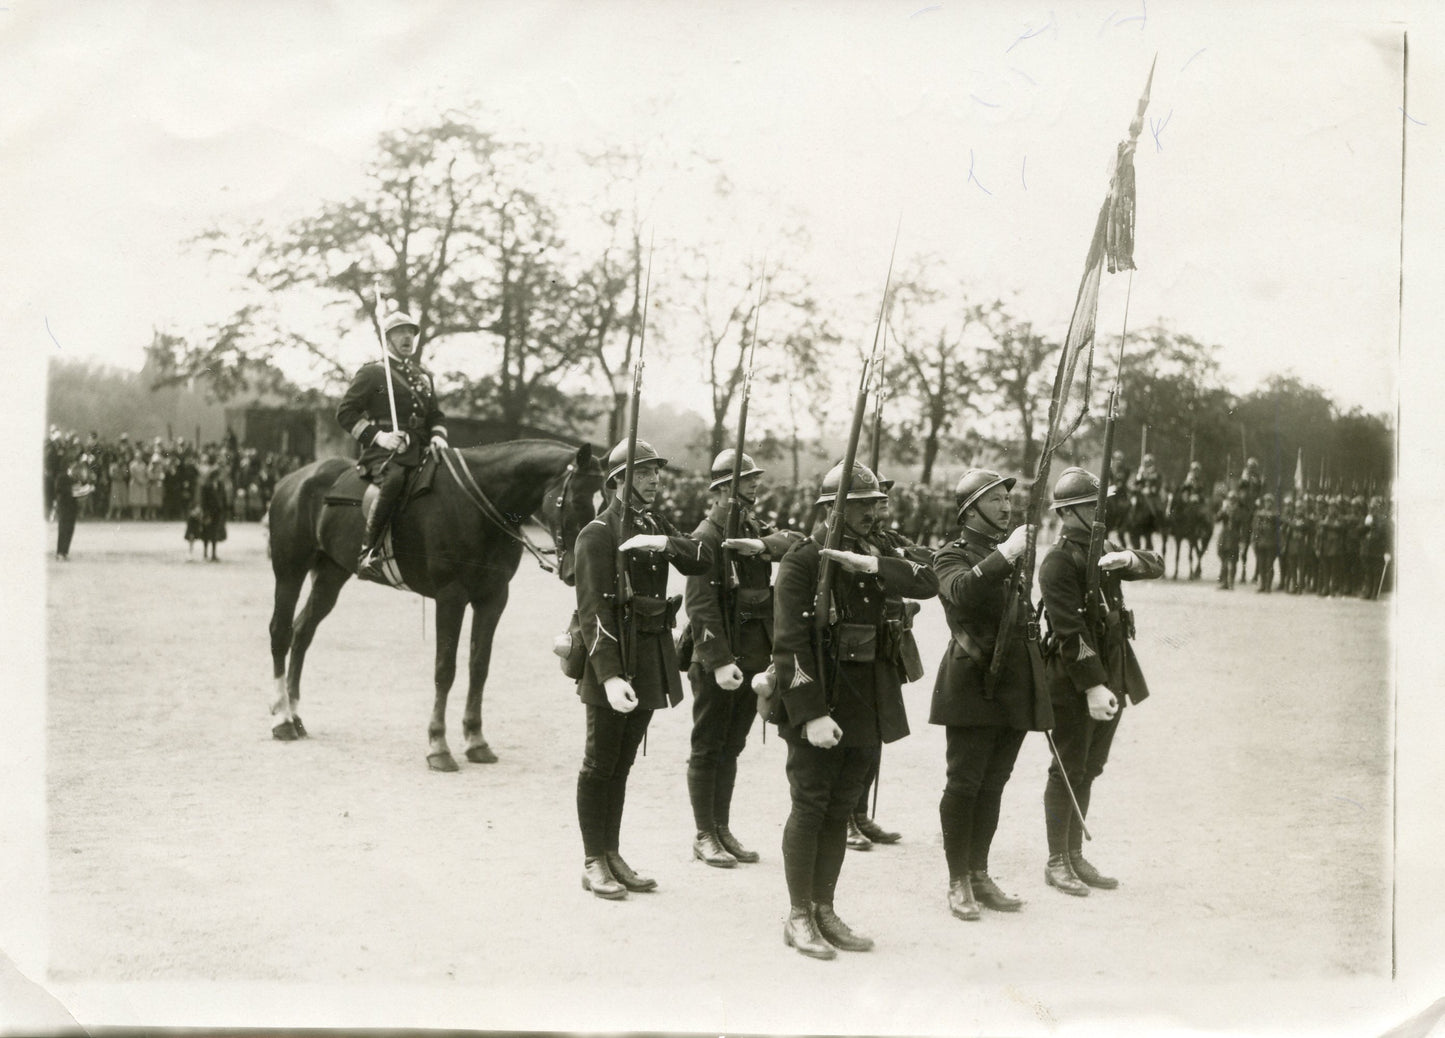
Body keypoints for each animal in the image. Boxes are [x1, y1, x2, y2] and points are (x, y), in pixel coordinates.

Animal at [262, 439, 601, 774]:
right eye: (574, 500)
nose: (575, 570)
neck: (481, 502)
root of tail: (292, 479)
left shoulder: (493, 598)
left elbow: (479, 667)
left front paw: (476, 740)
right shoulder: (450, 596)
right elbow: (445, 669)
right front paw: (438, 746)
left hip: (331, 574)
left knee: (302, 632)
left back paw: (294, 714)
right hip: (290, 571)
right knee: (280, 632)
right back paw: (282, 719)